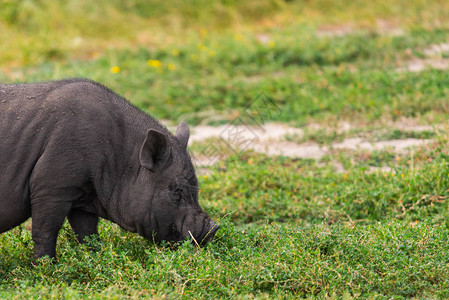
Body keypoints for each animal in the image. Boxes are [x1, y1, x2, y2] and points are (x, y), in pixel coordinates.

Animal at [0, 78, 219, 262]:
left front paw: (96, 258)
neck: (118, 158)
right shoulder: (51, 187)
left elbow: (87, 232)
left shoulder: (82, 195)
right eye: (176, 191)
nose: (214, 227)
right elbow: (45, 231)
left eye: (196, 188)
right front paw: (45, 267)